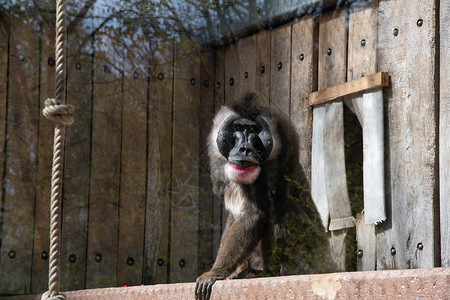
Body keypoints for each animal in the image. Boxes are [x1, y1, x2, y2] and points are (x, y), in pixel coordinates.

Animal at [195, 94, 336, 300]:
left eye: (253, 130)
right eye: (238, 128)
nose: (244, 149)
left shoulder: (271, 173)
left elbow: (254, 216)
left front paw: (215, 272)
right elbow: (234, 218)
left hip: (311, 256)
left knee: (280, 208)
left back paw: (268, 272)